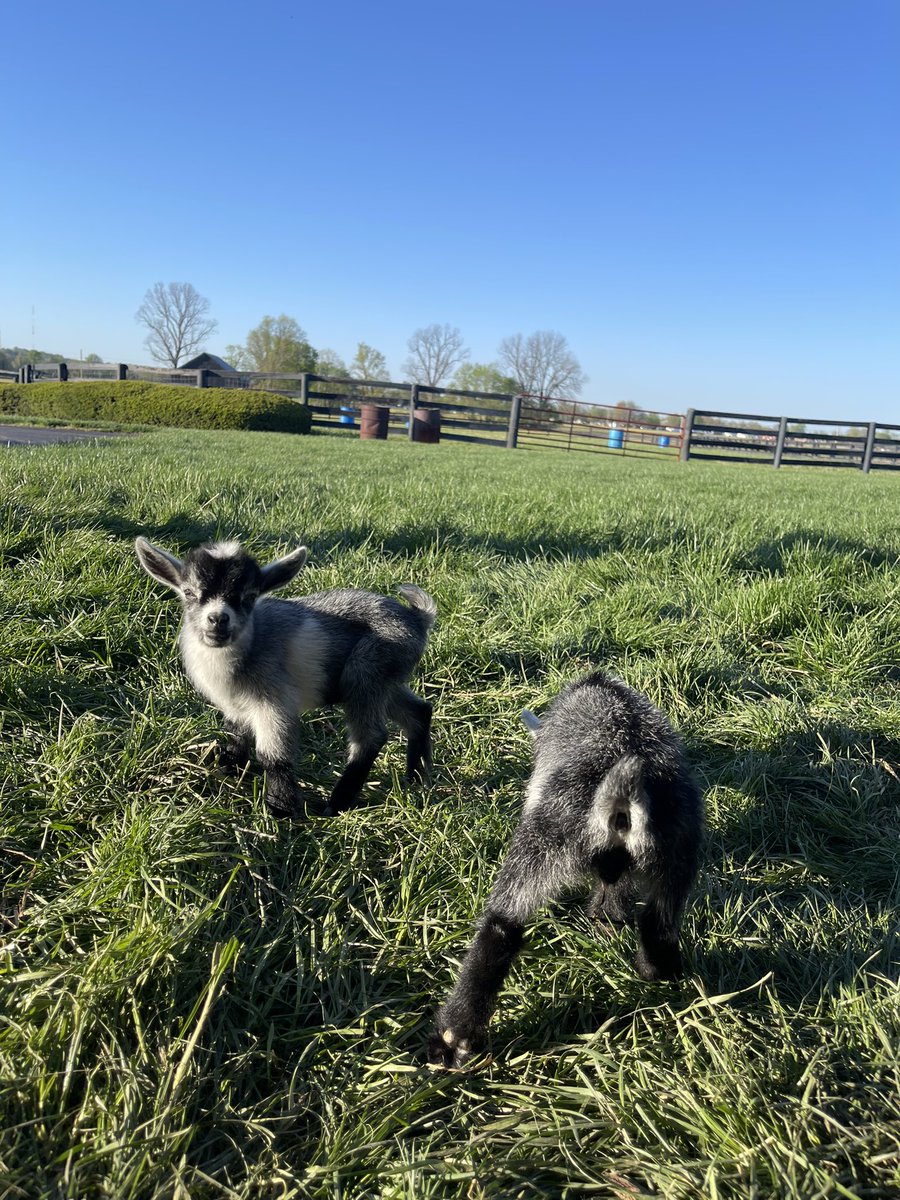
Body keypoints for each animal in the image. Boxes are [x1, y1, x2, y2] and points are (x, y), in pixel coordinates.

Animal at [135, 540, 441, 820]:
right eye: (189, 592)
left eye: (249, 596)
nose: (218, 619)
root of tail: (417, 619)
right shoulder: (235, 705)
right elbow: (235, 735)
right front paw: (229, 769)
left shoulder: (274, 701)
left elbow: (274, 757)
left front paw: (280, 810)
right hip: (386, 679)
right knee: (419, 711)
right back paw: (416, 778)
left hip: (367, 671)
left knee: (371, 736)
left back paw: (336, 804)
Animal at [427, 667, 705, 1070]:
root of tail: (620, 796)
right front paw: (607, 917)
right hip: (677, 851)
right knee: (659, 922)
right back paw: (657, 971)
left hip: (541, 844)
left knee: (502, 925)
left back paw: (454, 1036)